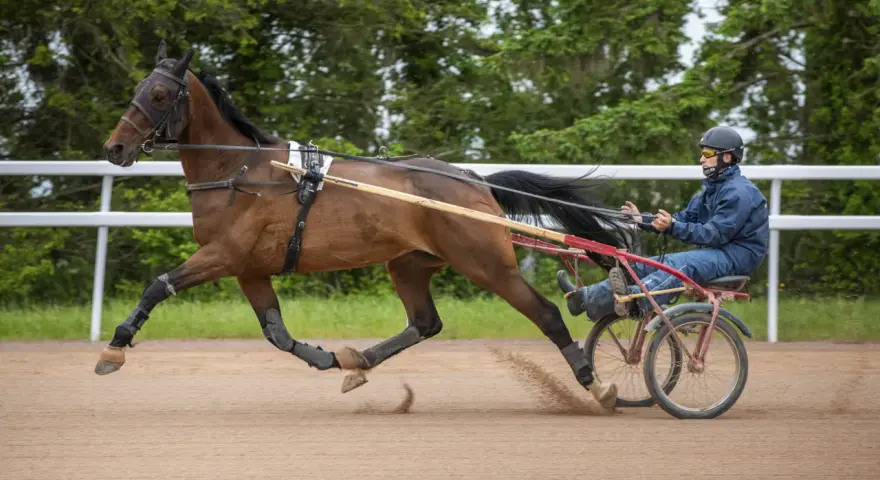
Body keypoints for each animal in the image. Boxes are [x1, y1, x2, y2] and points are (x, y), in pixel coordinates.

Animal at [97, 40, 635, 408]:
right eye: (137, 89)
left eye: (160, 94)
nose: (114, 148)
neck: (240, 171)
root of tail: (472, 180)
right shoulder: (249, 269)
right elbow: (276, 332)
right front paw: (328, 358)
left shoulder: (224, 255)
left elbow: (158, 285)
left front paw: (115, 348)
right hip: (410, 263)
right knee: (425, 323)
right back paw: (358, 362)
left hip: (486, 263)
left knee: (545, 314)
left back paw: (596, 384)